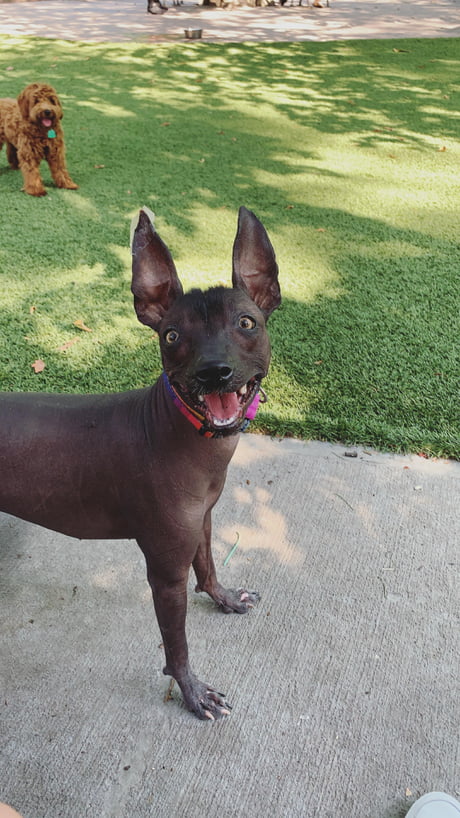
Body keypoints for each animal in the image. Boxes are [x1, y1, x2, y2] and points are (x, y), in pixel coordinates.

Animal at [0, 206, 280, 720]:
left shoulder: (202, 523)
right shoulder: (164, 575)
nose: (215, 372)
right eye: (171, 335)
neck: (185, 433)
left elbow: (208, 567)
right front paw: (192, 691)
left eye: (247, 323)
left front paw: (224, 598)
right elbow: (177, 644)